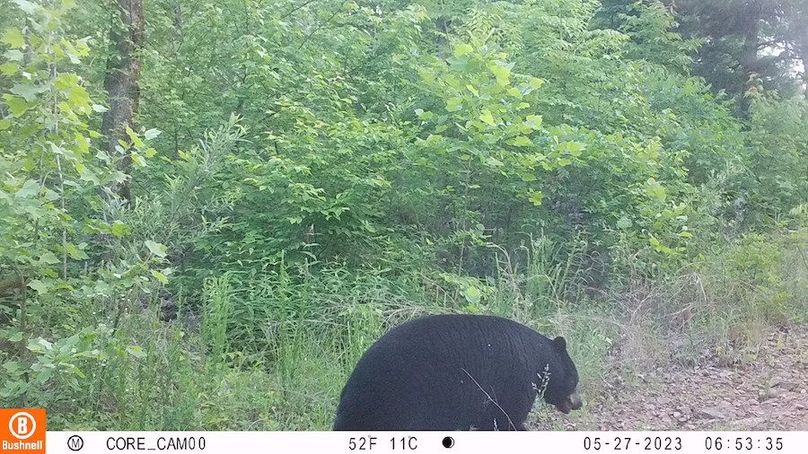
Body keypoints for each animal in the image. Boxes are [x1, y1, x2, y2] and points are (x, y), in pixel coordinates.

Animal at [333, 314, 582, 431]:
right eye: (575, 379)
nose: (579, 403)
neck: (540, 359)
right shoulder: (515, 382)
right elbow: (507, 418)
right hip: (401, 399)